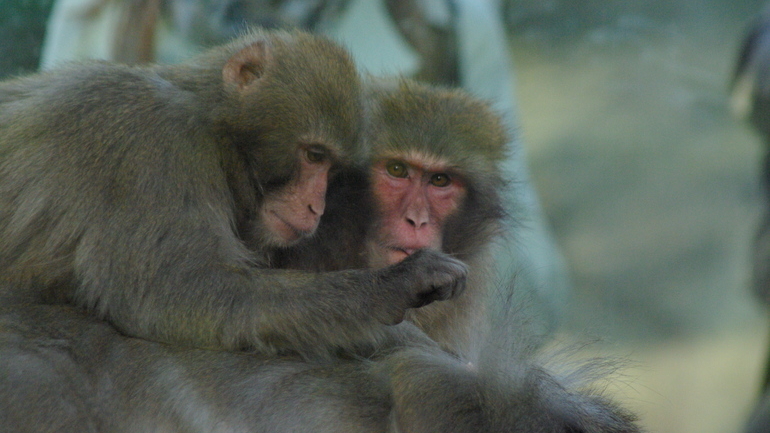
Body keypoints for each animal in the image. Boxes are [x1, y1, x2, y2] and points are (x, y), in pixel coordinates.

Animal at [0, 26, 468, 358]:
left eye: (331, 169)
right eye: (314, 155)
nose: (315, 207)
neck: (208, 126)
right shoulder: (152, 147)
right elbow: (182, 298)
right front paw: (397, 284)